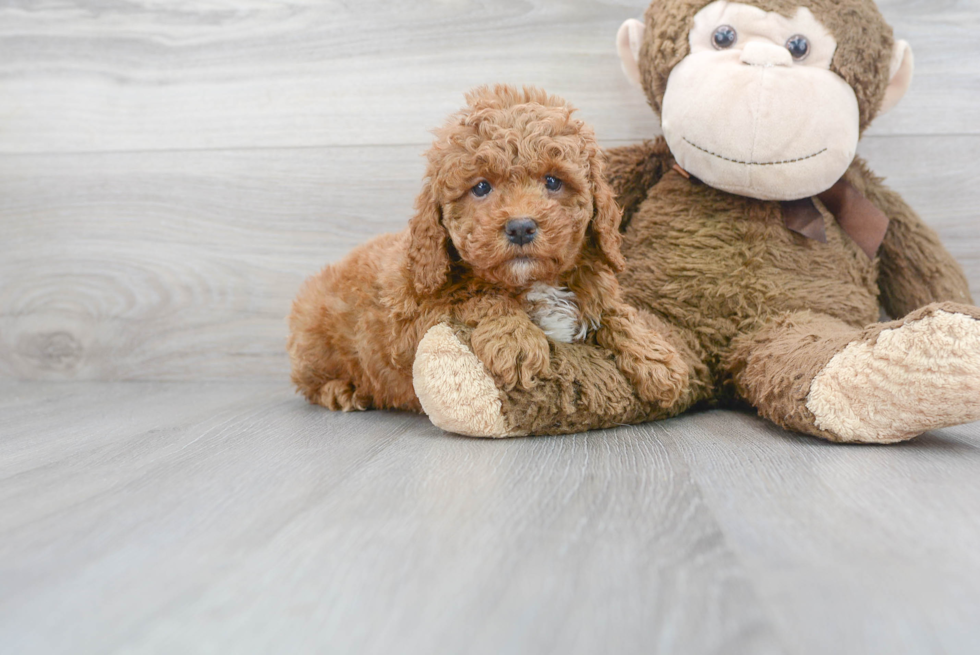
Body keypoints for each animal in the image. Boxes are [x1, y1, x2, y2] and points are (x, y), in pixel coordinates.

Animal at [288, 86, 684, 416]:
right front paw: (516, 338)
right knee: (309, 382)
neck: (534, 282)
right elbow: (475, 296)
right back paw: (341, 391)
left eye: (553, 181)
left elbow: (616, 312)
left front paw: (657, 359)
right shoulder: (412, 316)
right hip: (313, 340)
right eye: (481, 187)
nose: (521, 227)